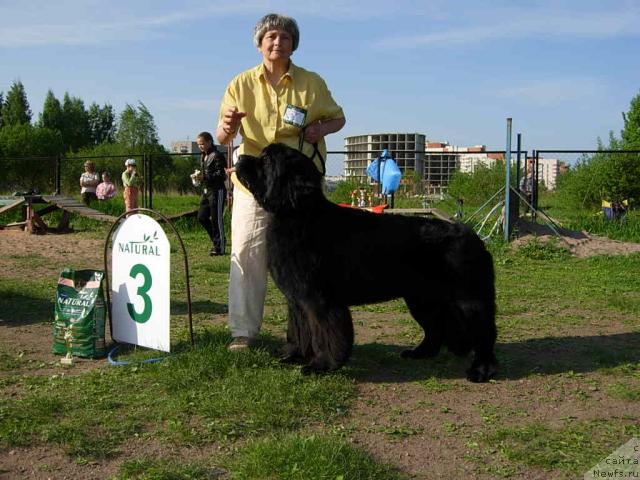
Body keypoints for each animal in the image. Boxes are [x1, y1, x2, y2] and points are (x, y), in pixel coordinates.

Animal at [238, 143, 498, 382]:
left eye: (267, 160)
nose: (239, 158)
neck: (299, 215)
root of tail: (474, 237)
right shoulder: (297, 300)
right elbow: (299, 330)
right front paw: (291, 355)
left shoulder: (319, 299)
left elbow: (324, 333)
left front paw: (322, 365)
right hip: (422, 298)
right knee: (436, 328)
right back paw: (419, 353)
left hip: (468, 300)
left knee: (484, 332)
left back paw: (481, 370)